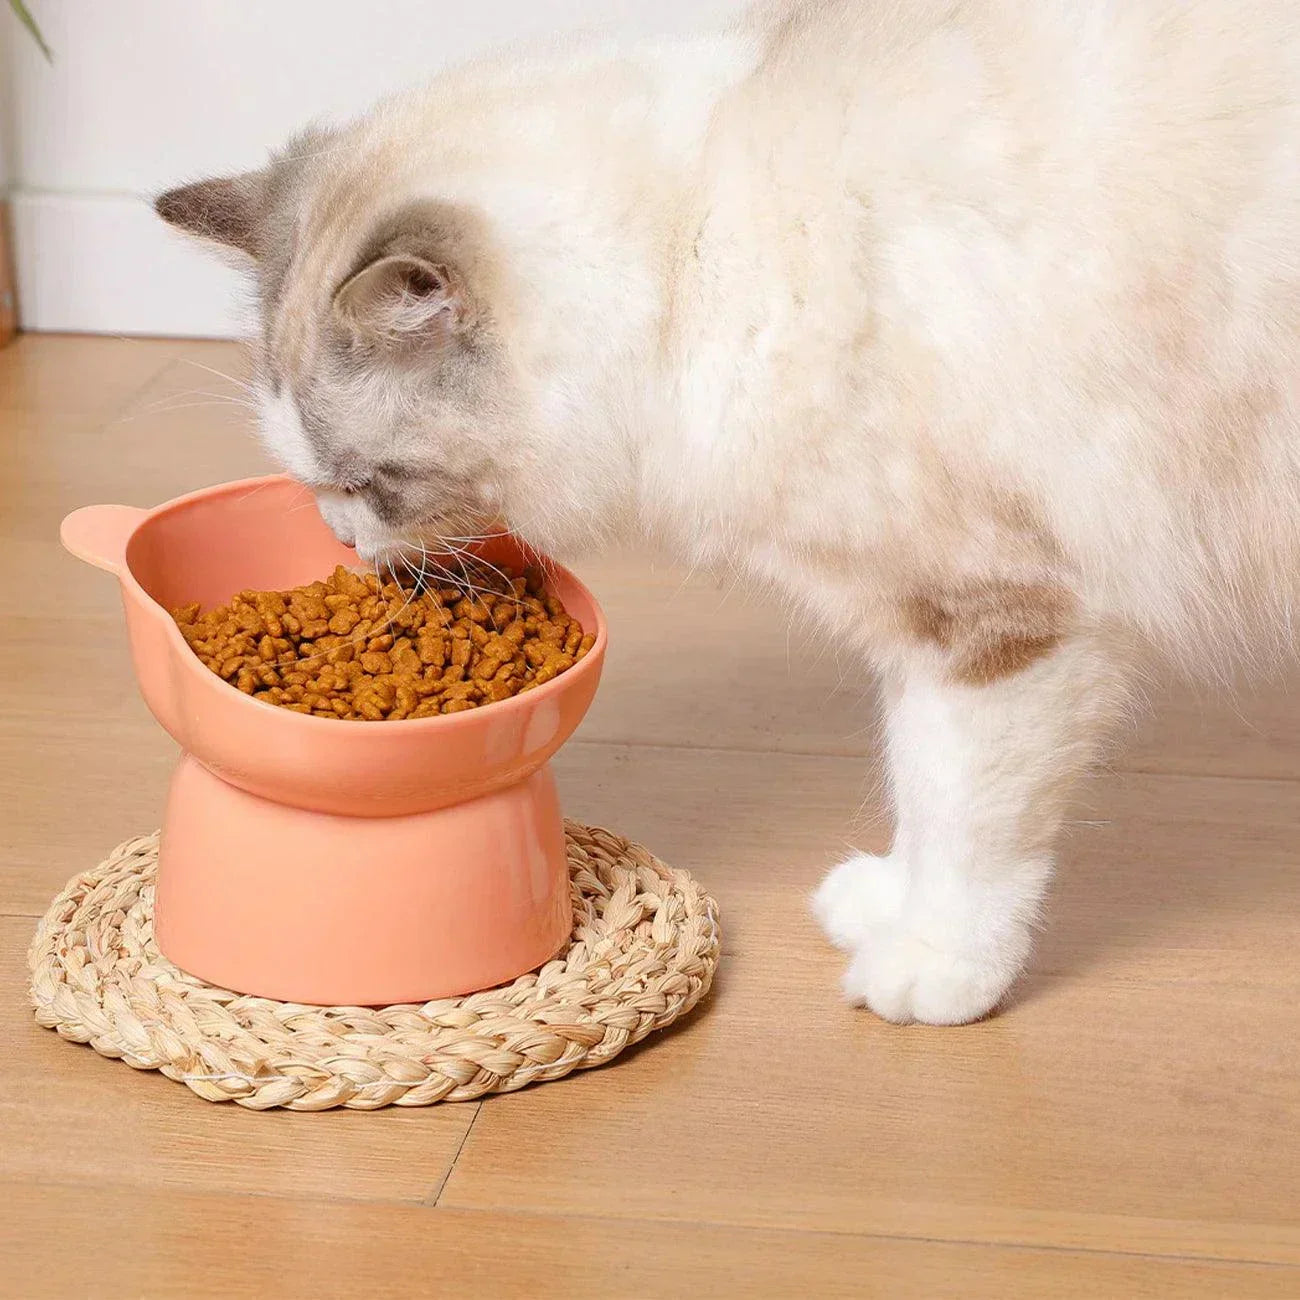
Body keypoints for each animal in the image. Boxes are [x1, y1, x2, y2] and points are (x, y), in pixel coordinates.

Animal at [157, 2, 1300, 1024]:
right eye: (315, 484)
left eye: (368, 482)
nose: (347, 545)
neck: (692, 263)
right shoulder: (910, 620)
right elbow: (914, 787)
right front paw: (883, 903)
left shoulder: (991, 622)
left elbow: (963, 816)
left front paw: (934, 970)